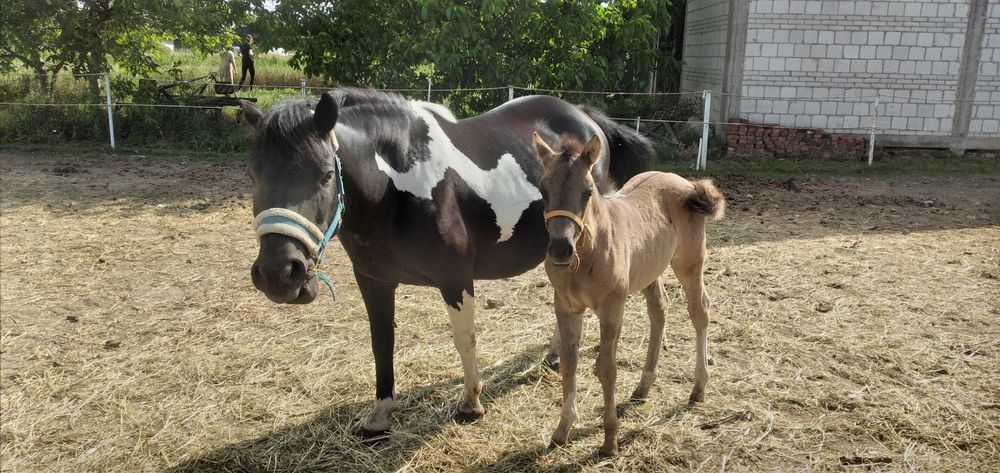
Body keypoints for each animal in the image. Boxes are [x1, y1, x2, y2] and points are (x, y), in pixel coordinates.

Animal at [238, 88, 652, 436]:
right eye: (253, 175)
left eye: (326, 175)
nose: (278, 273)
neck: (397, 188)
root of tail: (584, 116)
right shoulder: (373, 280)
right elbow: (381, 340)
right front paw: (381, 413)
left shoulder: (455, 280)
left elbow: (464, 339)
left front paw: (471, 403)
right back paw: (553, 353)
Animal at [536, 134, 724, 458]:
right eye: (544, 190)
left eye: (587, 192)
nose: (560, 250)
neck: (586, 253)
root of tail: (686, 184)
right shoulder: (566, 307)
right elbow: (569, 361)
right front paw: (562, 430)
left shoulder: (612, 308)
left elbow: (606, 368)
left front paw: (609, 440)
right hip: (650, 268)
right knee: (659, 308)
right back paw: (644, 385)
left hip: (689, 262)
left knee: (699, 311)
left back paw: (699, 388)